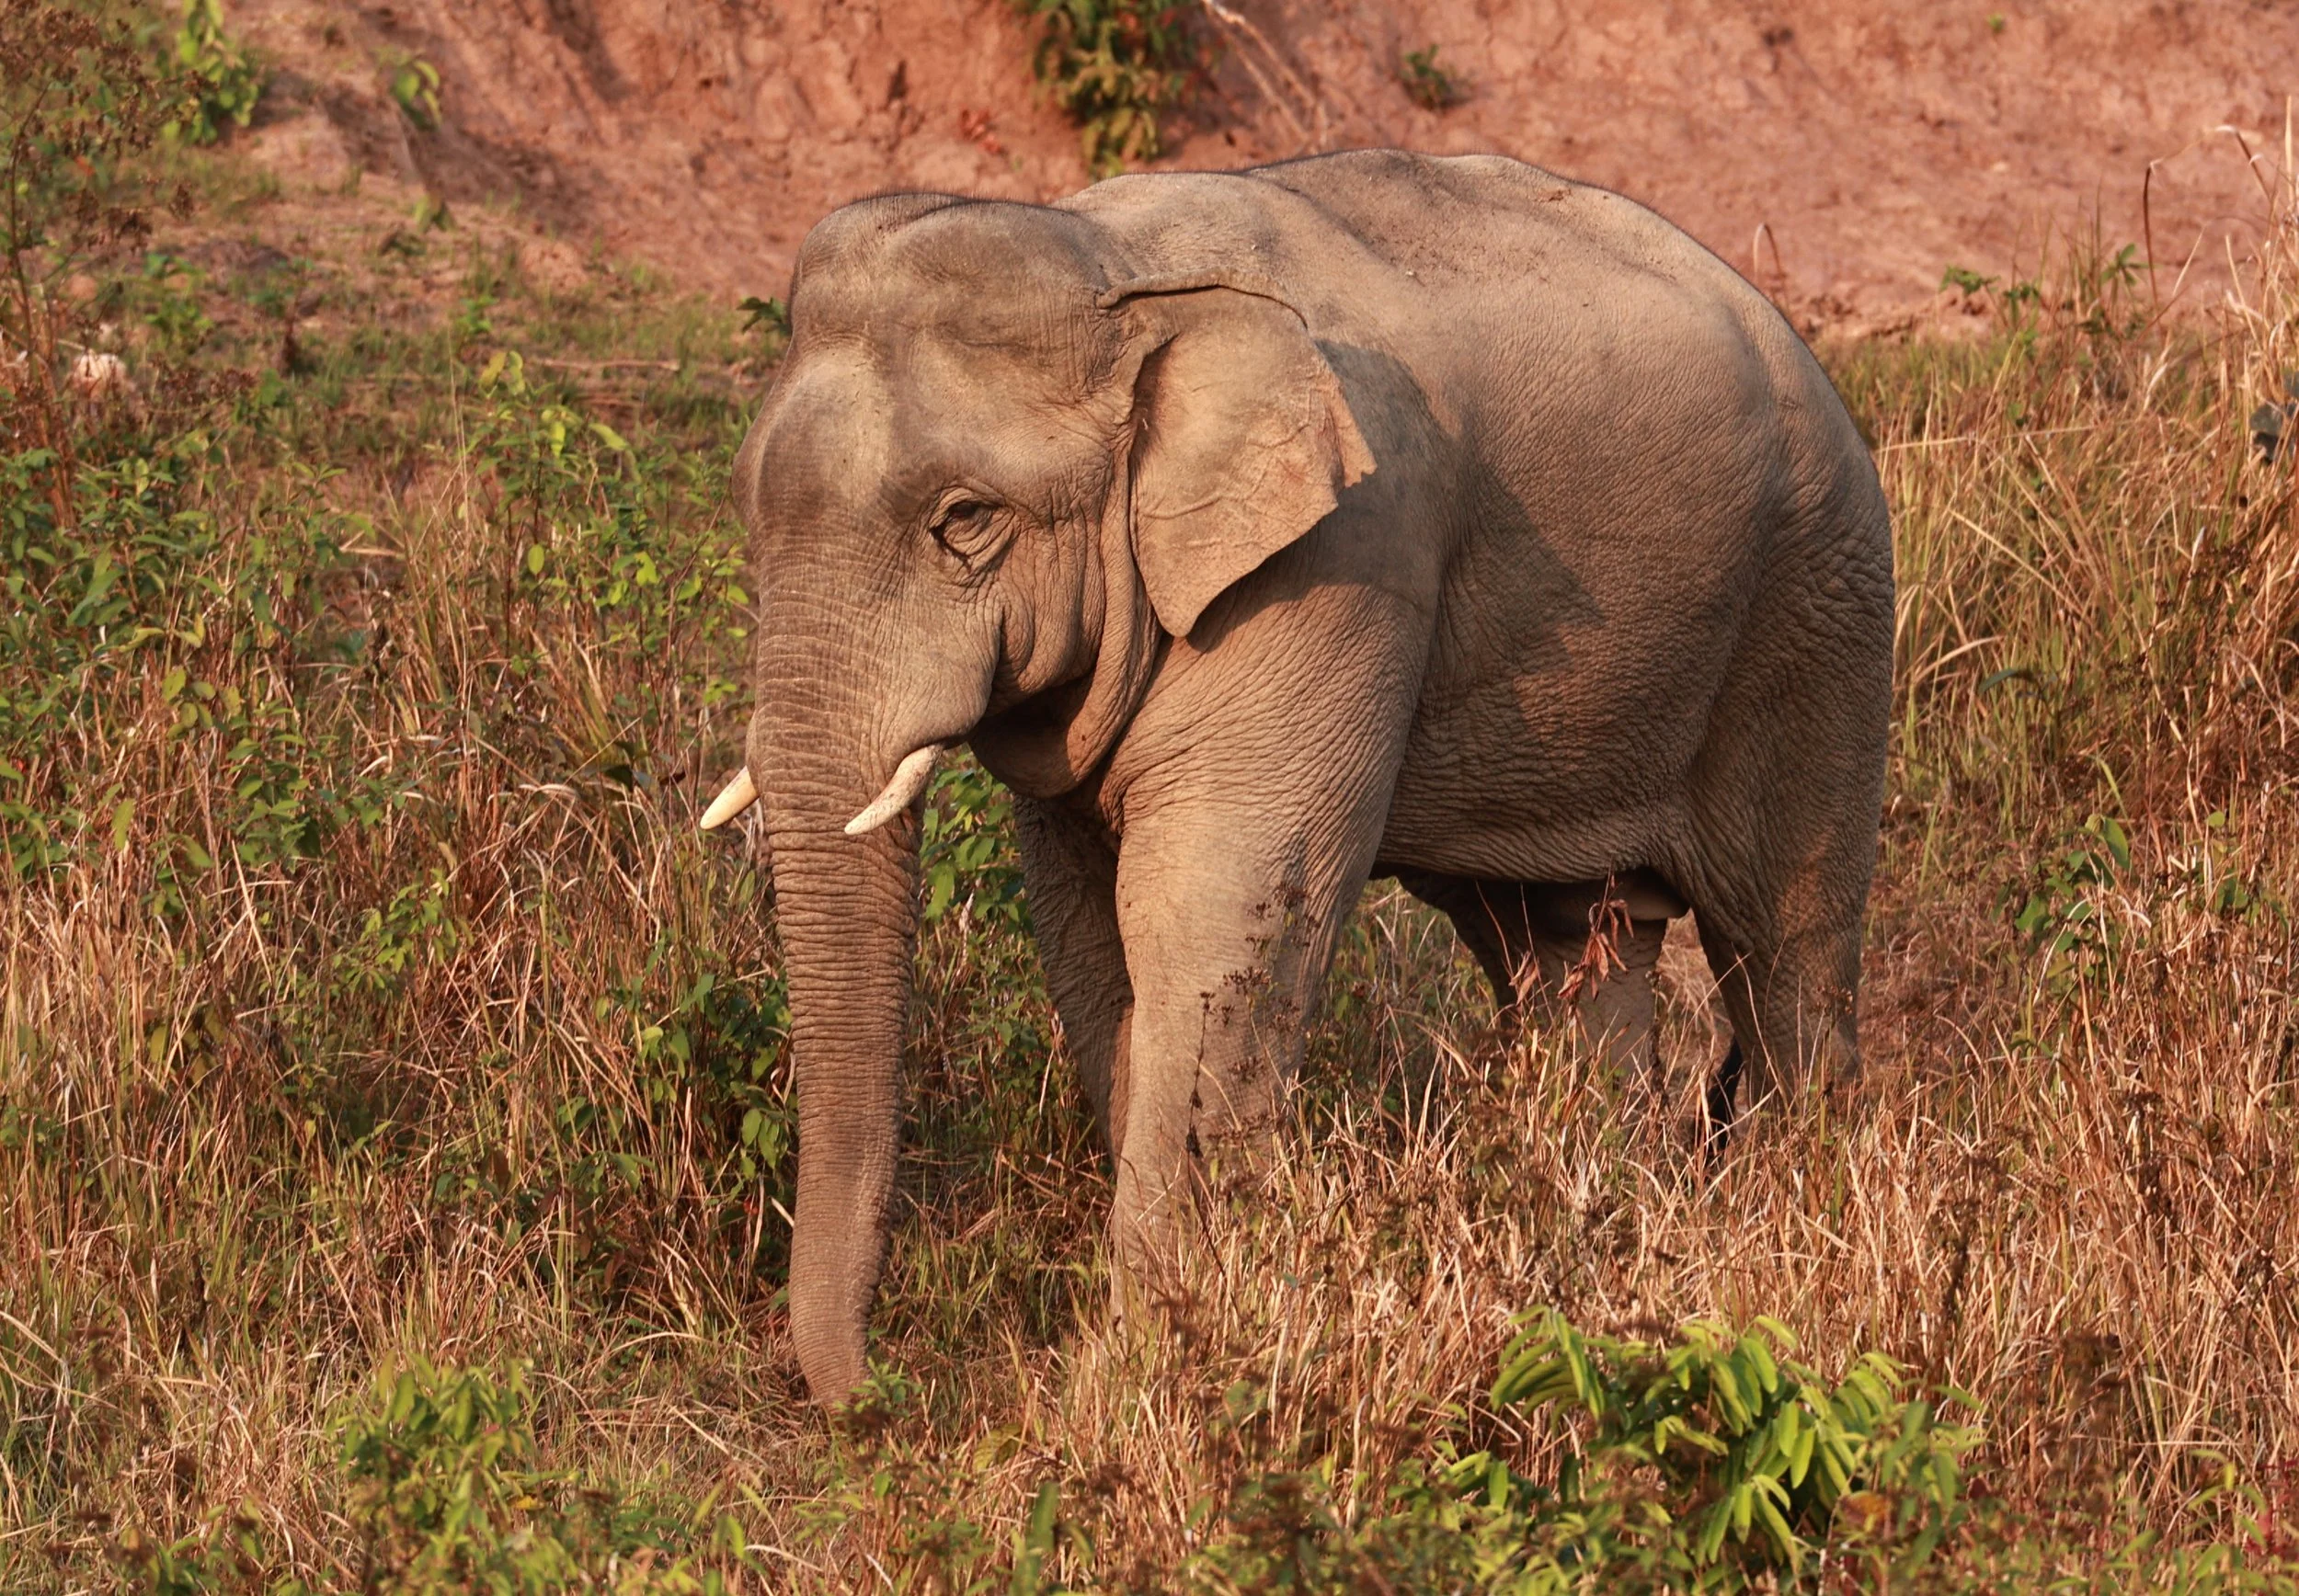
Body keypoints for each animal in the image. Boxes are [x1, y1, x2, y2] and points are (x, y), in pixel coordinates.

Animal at [698, 150, 1894, 1400]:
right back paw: (1596, 1236)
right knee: (1565, 950)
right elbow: (1090, 931)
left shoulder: (1340, 559)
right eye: (745, 503)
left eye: (965, 519)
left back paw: (1781, 1230)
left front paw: (1151, 1367)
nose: (886, 1392)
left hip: (1819, 610)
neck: (1114, 267)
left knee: (1785, 949)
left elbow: (1200, 917)